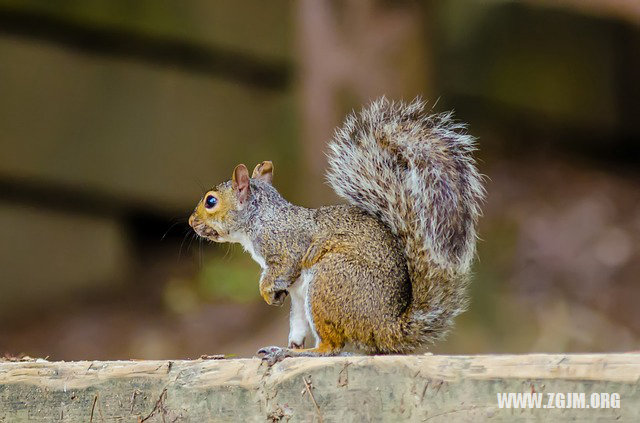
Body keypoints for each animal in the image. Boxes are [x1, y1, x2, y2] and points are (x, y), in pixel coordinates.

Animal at [188, 97, 482, 364]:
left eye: (211, 201)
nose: (191, 222)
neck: (260, 217)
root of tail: (386, 327)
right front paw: (275, 296)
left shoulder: (285, 245)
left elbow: (282, 267)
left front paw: (266, 291)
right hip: (304, 301)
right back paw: (287, 348)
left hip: (328, 281)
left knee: (331, 348)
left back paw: (297, 352)